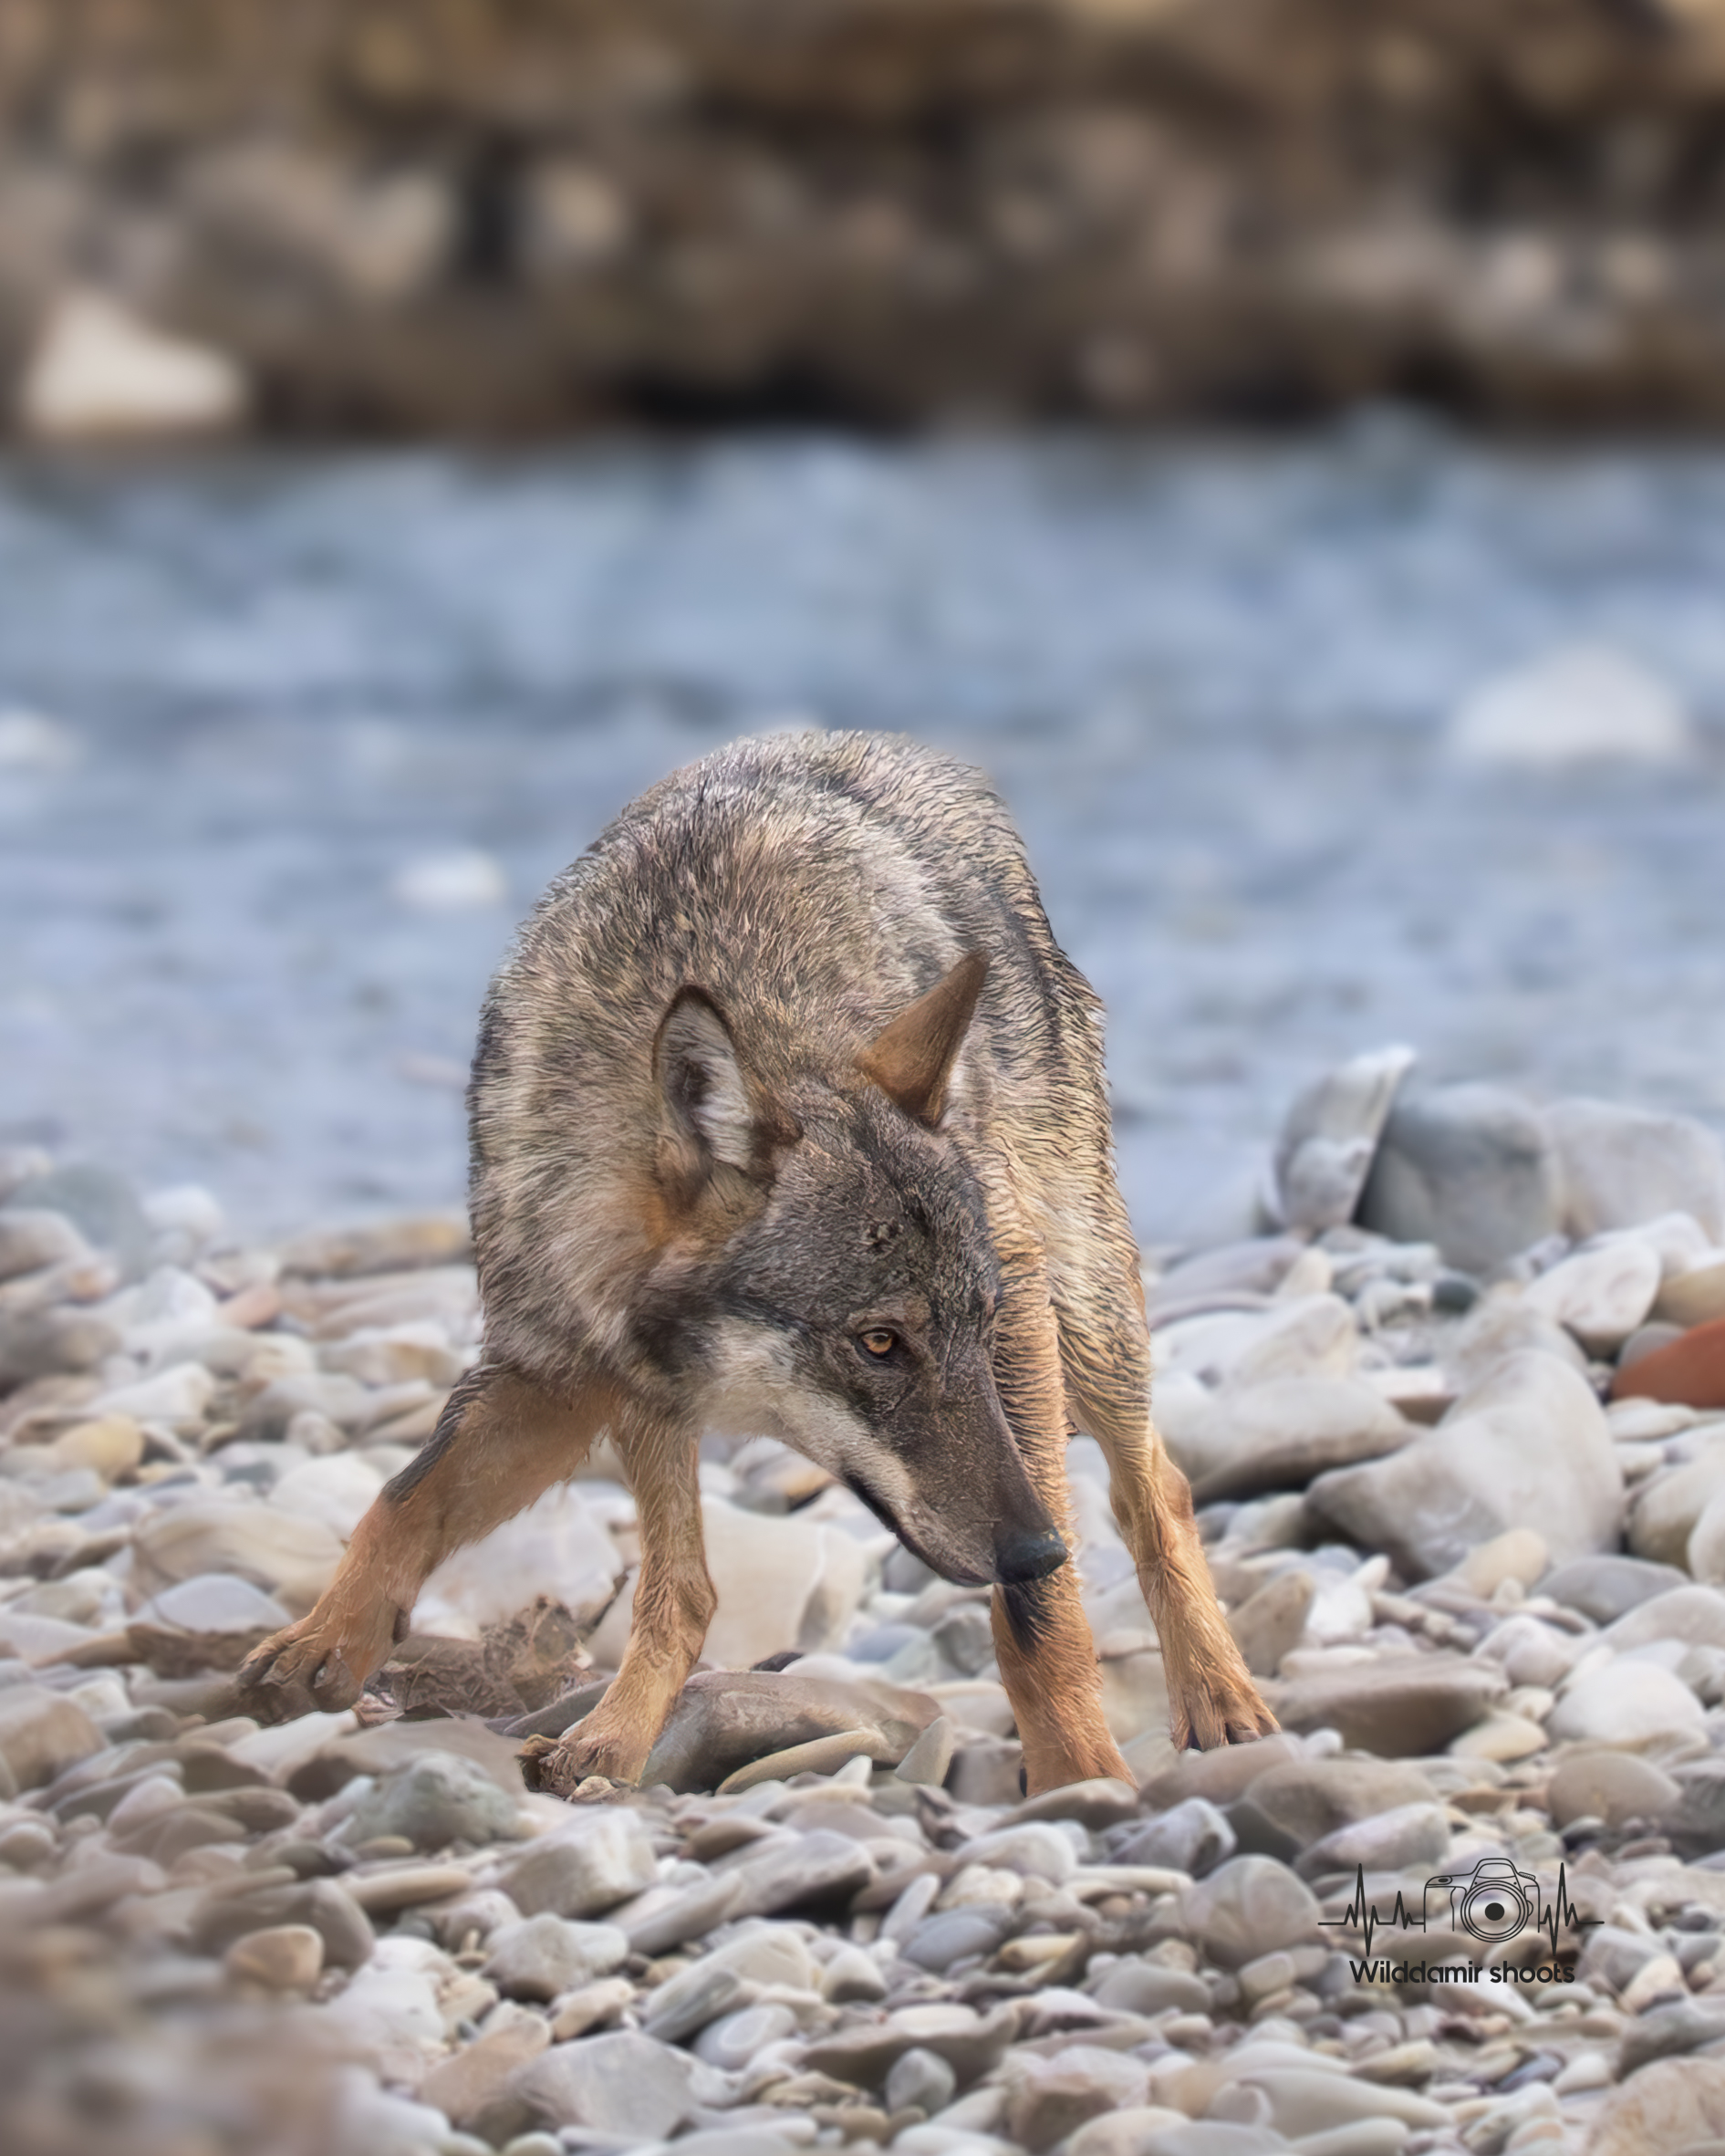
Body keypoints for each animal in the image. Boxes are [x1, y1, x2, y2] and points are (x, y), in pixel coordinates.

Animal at [236, 731, 1274, 1793]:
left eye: (968, 1325)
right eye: (879, 1341)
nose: (1035, 1549)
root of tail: (878, 743)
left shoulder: (1017, 1318)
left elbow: (1038, 1623)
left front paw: (1079, 1780)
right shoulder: (555, 1371)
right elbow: (402, 1502)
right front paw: (321, 1645)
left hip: (1084, 1316)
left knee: (1157, 1490)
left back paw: (1222, 1703)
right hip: (650, 1411)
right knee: (685, 1587)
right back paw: (608, 1740)